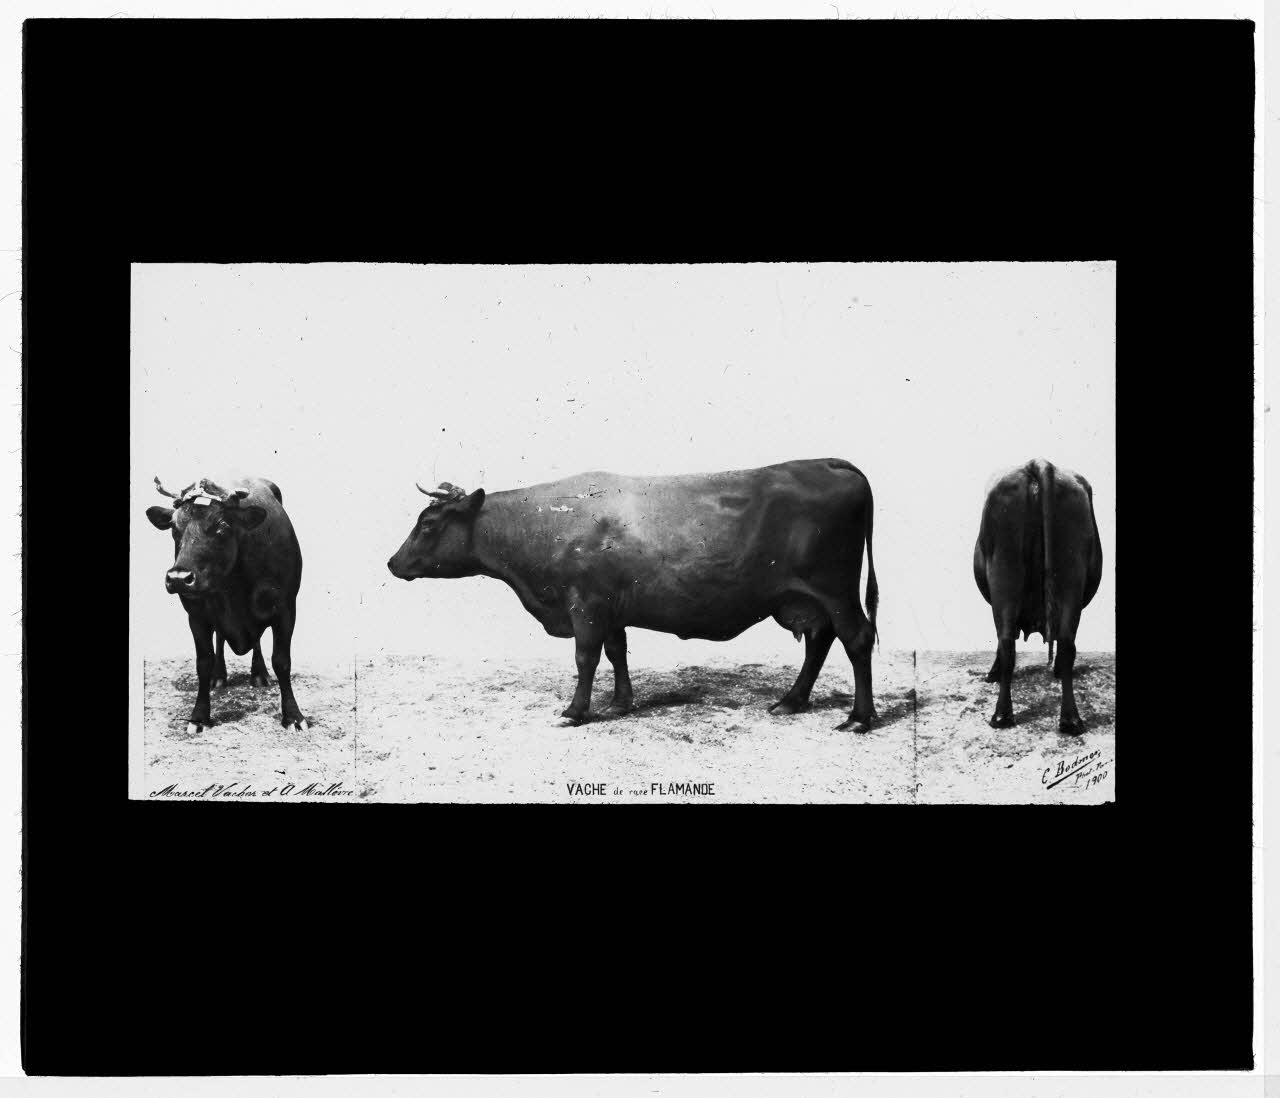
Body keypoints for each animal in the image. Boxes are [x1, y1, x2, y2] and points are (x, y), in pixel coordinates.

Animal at [145, 476, 308, 735]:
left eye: (222, 525)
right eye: (173, 526)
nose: (178, 578)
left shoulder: (286, 609)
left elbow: (282, 661)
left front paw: (293, 716)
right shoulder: (196, 615)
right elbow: (203, 662)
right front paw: (199, 717)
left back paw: (259, 674)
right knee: (221, 640)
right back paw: (219, 676)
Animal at [387, 458, 880, 731]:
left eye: (428, 524)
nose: (392, 563)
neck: (547, 522)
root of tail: (828, 462)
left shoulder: (585, 604)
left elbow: (586, 656)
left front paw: (575, 710)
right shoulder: (612, 607)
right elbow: (616, 650)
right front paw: (621, 702)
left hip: (835, 590)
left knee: (856, 639)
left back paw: (859, 718)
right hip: (808, 599)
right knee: (820, 642)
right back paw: (791, 701)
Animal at [973, 458, 1103, 735]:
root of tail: (1038, 463)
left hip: (1004, 575)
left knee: (1006, 641)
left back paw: (1002, 716)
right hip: (1070, 575)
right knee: (1065, 643)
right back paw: (1070, 720)